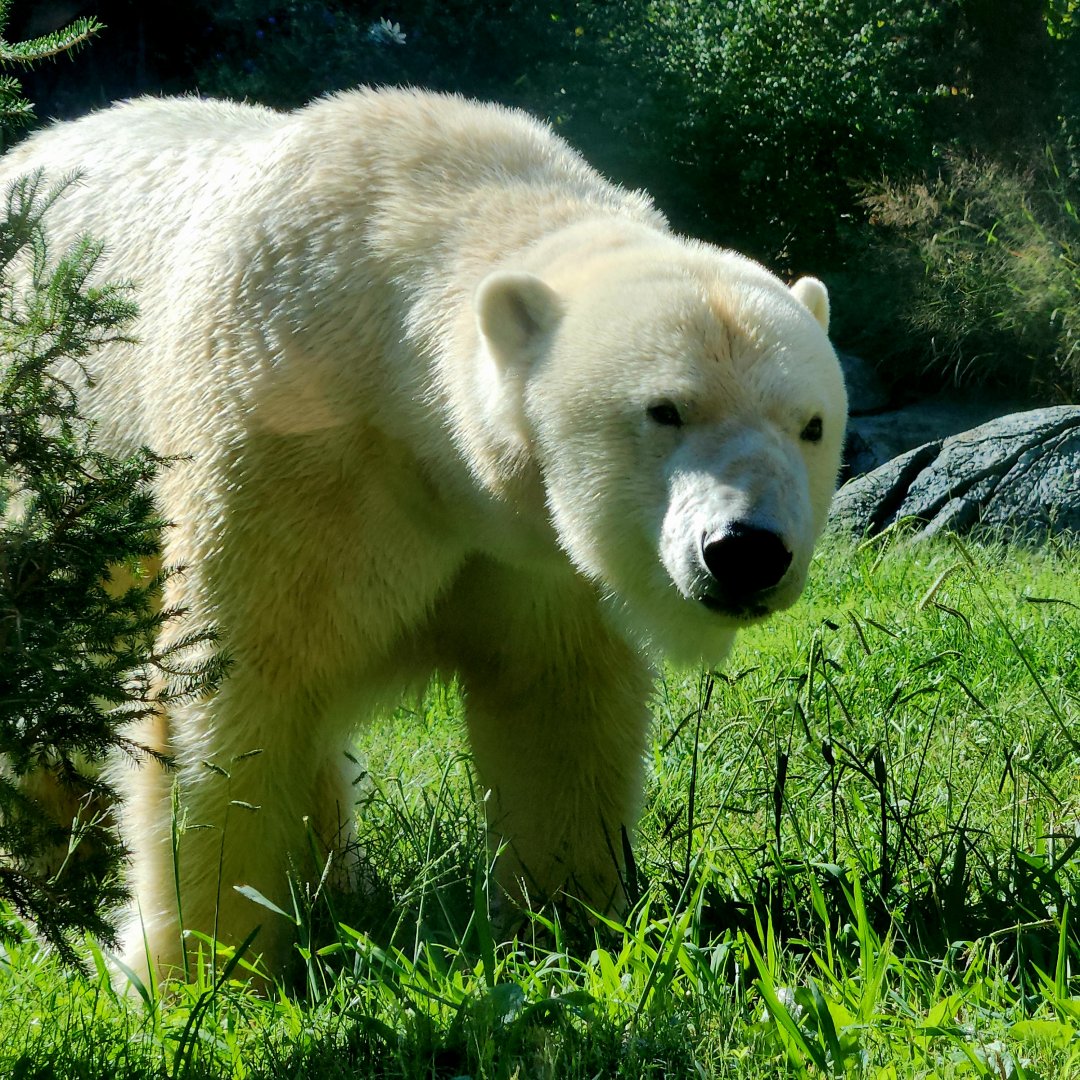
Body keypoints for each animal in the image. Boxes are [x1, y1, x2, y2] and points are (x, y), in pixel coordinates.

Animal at [0, 87, 847, 984]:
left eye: (811, 425)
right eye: (666, 409)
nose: (747, 551)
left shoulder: (535, 549)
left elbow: (556, 703)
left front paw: (569, 923)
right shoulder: (286, 450)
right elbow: (238, 689)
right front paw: (196, 968)